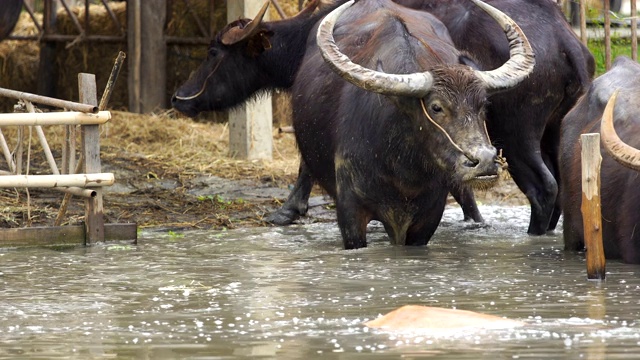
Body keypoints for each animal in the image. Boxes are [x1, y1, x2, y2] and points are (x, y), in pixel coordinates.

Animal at [298, 0, 532, 248]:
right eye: (436, 107)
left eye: (483, 105)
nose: (485, 160)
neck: (402, 165)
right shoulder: (350, 212)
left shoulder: (428, 217)